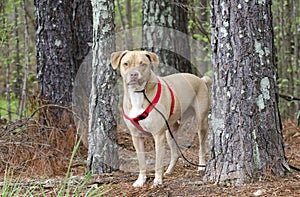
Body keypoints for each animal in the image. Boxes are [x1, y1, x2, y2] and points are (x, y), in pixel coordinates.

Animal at [110, 50, 211, 186]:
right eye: (126, 64)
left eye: (143, 64)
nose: (134, 75)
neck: (138, 94)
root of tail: (200, 79)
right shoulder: (136, 137)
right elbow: (141, 161)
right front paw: (141, 180)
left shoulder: (158, 135)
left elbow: (158, 161)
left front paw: (157, 180)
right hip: (170, 132)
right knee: (175, 153)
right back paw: (169, 171)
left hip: (201, 122)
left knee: (201, 146)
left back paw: (201, 166)